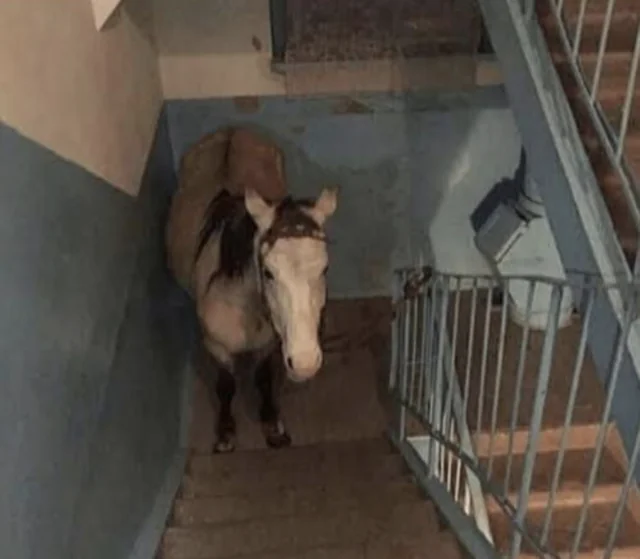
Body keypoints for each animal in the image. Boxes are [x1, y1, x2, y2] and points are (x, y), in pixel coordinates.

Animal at [165, 137, 338, 453]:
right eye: (268, 272)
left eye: (325, 268)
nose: (305, 362)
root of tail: (230, 131)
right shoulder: (217, 347)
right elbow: (225, 386)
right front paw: (225, 434)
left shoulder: (267, 345)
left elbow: (263, 379)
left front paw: (272, 426)